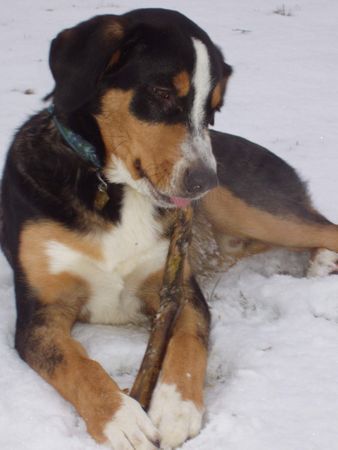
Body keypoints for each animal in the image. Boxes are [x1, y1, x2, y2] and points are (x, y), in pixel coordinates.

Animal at [1, 7, 338, 450]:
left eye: (213, 109)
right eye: (160, 93)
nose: (204, 181)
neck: (113, 189)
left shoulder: (179, 291)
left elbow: (187, 344)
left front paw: (176, 407)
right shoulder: (40, 313)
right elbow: (76, 365)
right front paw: (121, 418)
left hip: (250, 208)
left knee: (326, 227)